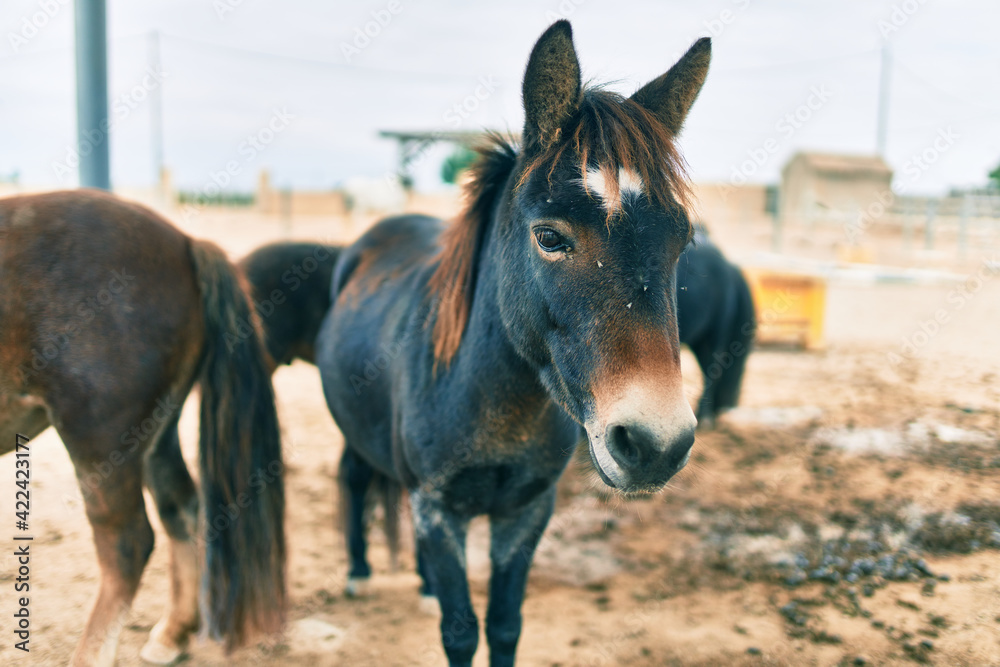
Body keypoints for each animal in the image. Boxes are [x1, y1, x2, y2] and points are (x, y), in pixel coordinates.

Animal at [0, 189, 286, 666]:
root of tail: (185, 244)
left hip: (98, 438)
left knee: (128, 544)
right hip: (153, 435)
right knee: (180, 507)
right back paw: (174, 633)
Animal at [316, 20, 712, 666]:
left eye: (683, 241)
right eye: (549, 237)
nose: (657, 444)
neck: (492, 401)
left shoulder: (525, 514)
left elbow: (504, 625)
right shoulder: (439, 511)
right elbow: (459, 632)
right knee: (353, 475)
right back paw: (357, 572)